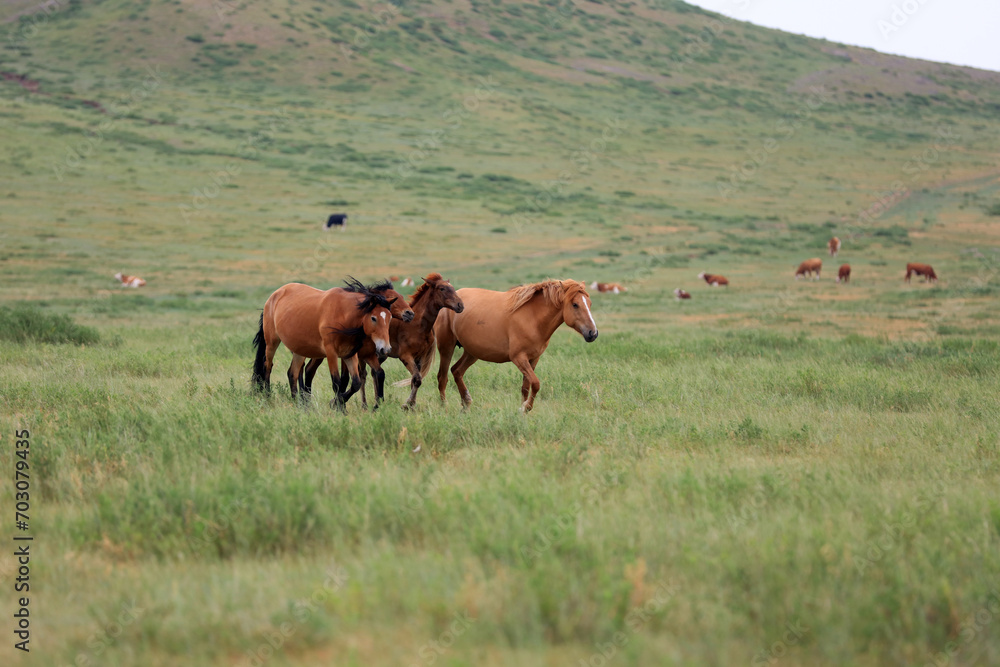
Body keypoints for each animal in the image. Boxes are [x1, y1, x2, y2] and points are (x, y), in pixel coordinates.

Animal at [252, 278, 396, 412]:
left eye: (390, 318)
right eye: (373, 318)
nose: (385, 348)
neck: (343, 314)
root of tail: (274, 295)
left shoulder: (349, 354)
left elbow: (355, 383)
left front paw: (338, 403)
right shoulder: (331, 353)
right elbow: (337, 382)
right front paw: (339, 408)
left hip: (299, 350)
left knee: (293, 373)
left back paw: (298, 404)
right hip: (272, 342)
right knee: (268, 366)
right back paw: (268, 397)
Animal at [436, 278, 596, 412]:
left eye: (589, 304)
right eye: (575, 304)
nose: (593, 333)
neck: (532, 318)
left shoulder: (533, 359)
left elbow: (526, 387)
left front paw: (522, 411)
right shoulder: (519, 358)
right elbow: (536, 384)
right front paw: (526, 408)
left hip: (472, 352)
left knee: (457, 371)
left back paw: (466, 403)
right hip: (446, 348)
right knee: (442, 377)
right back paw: (444, 407)